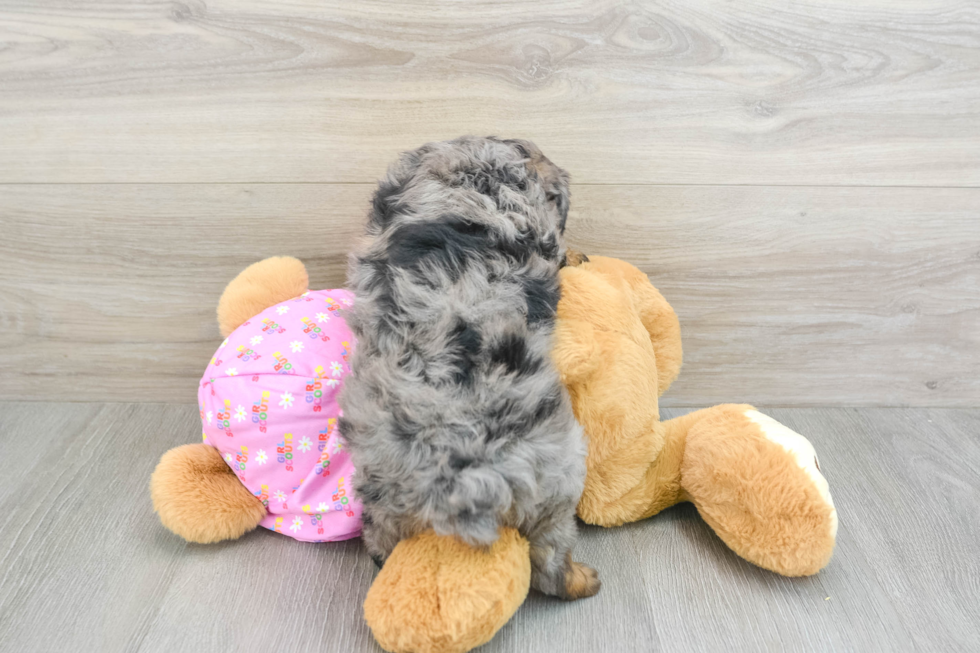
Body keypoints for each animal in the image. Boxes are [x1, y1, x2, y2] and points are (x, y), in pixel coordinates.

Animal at [336, 135, 596, 600]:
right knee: (550, 560)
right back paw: (582, 580)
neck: (471, 174)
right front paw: (578, 255)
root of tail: (454, 471)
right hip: (560, 474)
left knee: (381, 541)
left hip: (380, 494)